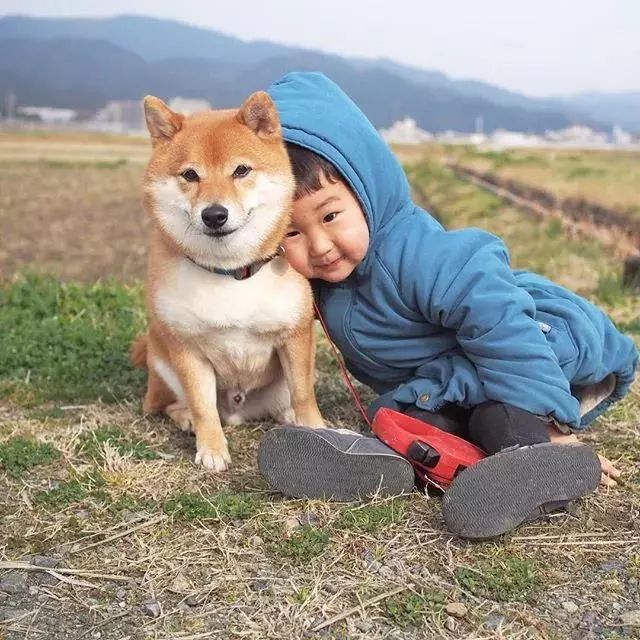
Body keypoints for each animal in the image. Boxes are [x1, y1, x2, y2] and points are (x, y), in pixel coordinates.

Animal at [134, 90, 324, 470]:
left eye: (241, 170)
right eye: (190, 175)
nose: (214, 214)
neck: (231, 273)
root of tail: (238, 412)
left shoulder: (295, 335)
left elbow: (303, 393)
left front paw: (317, 429)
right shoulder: (187, 349)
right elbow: (203, 405)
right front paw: (211, 449)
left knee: (287, 399)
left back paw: (290, 417)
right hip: (161, 357)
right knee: (169, 405)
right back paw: (186, 419)